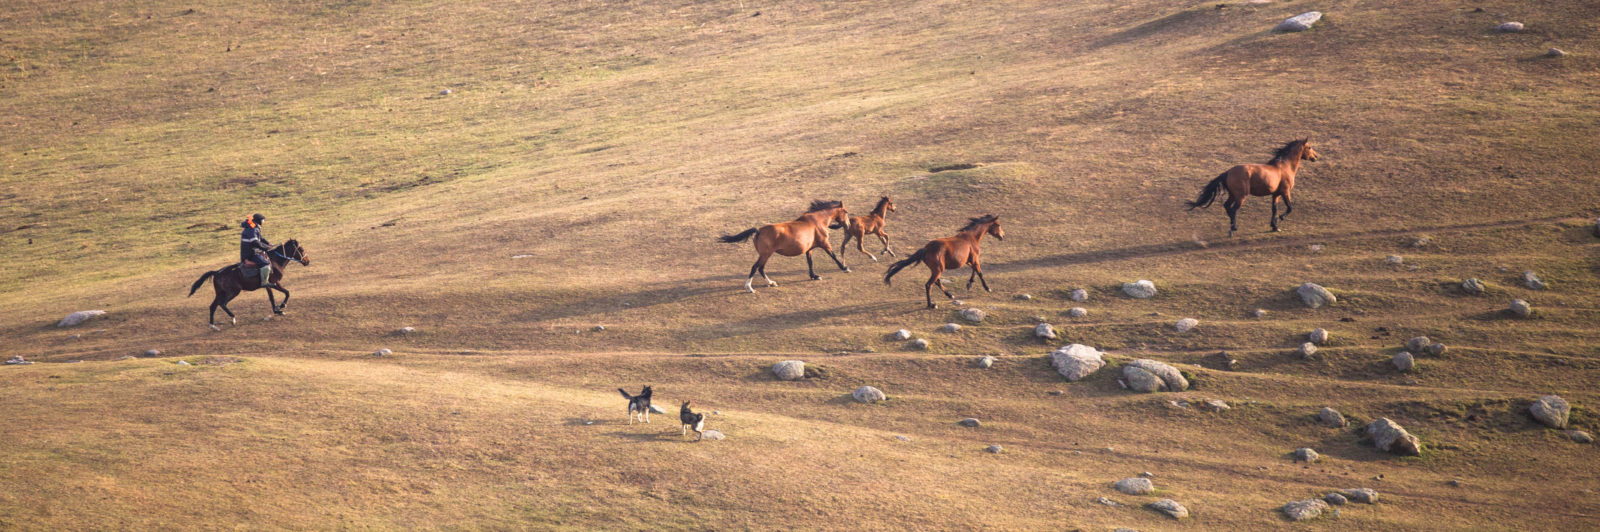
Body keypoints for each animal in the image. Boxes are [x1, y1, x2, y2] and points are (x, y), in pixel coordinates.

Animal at [723, 199, 857, 293]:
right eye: (846, 212)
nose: (848, 225)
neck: (817, 221)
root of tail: (759, 230)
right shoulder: (825, 243)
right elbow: (833, 256)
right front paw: (845, 268)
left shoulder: (809, 249)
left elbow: (810, 262)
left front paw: (814, 276)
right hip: (765, 254)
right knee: (755, 267)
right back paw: (749, 288)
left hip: (765, 255)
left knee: (760, 268)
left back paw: (771, 283)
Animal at [1184, 137, 1318, 235]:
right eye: (1309, 147)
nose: (1316, 157)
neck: (1285, 166)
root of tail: (1228, 172)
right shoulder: (1285, 192)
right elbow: (1289, 208)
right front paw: (1279, 219)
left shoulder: (1276, 194)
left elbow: (1274, 209)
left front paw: (1274, 226)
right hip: (1241, 196)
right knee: (1233, 209)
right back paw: (1233, 229)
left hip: (1233, 195)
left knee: (1227, 206)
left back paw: (1233, 226)